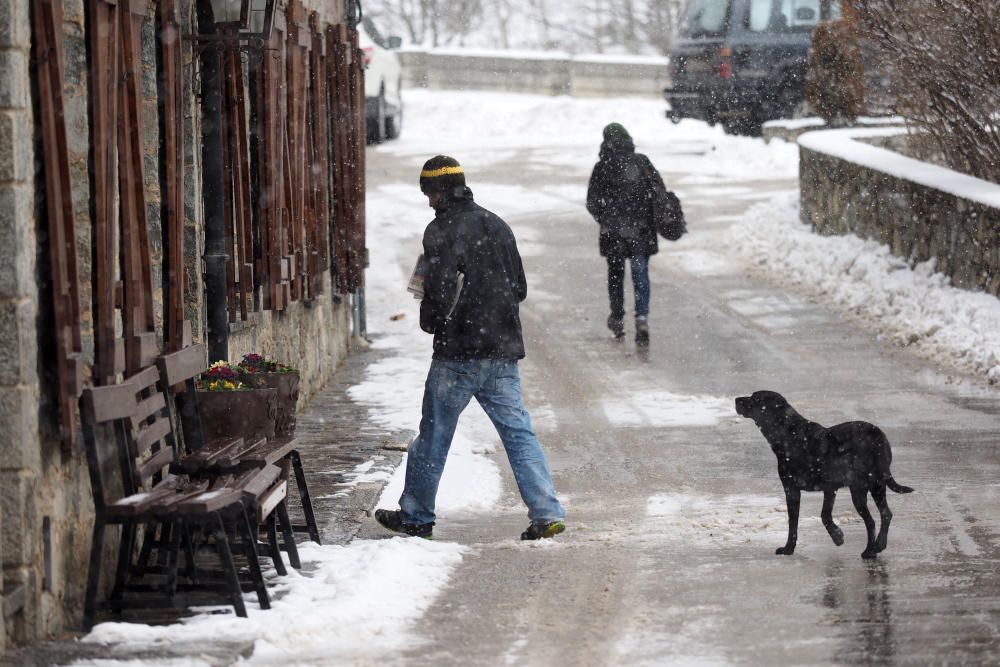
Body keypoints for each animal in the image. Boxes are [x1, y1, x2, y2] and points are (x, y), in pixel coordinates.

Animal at [736, 388, 916, 560]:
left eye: (755, 398)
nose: (736, 399)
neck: (787, 433)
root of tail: (878, 436)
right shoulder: (830, 488)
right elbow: (824, 515)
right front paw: (837, 536)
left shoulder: (792, 488)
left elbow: (794, 522)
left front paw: (789, 549)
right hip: (873, 485)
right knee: (884, 514)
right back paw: (876, 547)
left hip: (864, 487)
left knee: (874, 518)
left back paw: (871, 549)